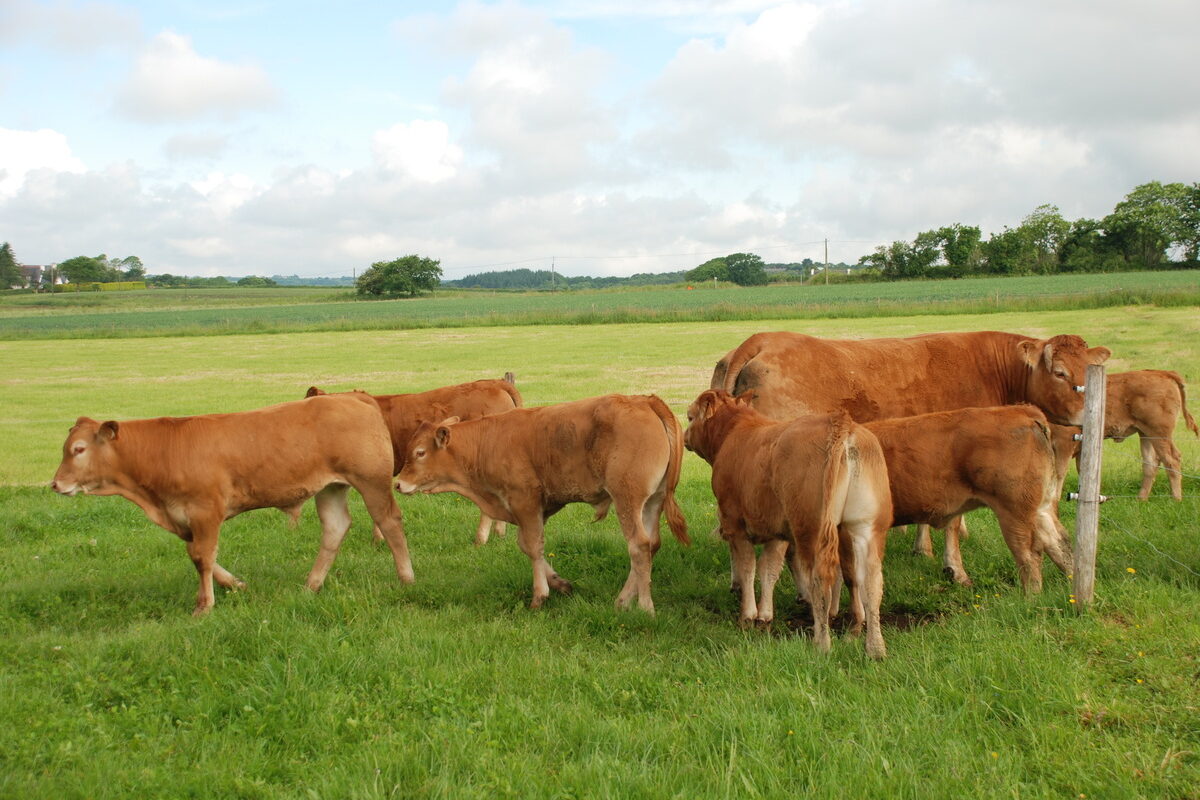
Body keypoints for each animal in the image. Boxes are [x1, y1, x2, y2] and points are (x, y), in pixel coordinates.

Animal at [50, 393, 413, 616]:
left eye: (79, 449)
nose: (55, 484)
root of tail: (350, 396)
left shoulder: (205, 510)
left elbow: (201, 556)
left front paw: (204, 606)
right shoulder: (184, 518)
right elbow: (202, 555)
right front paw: (236, 584)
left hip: (371, 481)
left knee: (389, 522)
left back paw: (406, 578)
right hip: (331, 488)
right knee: (335, 528)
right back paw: (311, 586)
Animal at [395, 394, 689, 613]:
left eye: (419, 453)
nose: (398, 483)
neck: (487, 442)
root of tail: (644, 401)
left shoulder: (524, 501)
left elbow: (533, 547)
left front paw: (540, 595)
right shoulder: (534, 509)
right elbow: (527, 545)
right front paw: (560, 583)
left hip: (627, 499)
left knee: (638, 546)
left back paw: (645, 606)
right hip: (652, 502)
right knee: (651, 544)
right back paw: (622, 600)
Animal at [684, 390, 892, 659]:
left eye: (690, 416)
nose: (685, 437)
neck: (736, 432)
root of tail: (840, 423)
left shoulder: (736, 524)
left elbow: (748, 567)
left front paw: (748, 616)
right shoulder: (776, 533)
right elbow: (769, 569)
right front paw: (765, 616)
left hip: (811, 530)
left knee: (820, 582)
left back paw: (821, 644)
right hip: (866, 528)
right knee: (870, 582)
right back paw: (872, 646)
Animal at [863, 406, 1073, 593]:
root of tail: (1023, 411)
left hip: (1015, 511)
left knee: (1030, 555)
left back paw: (1030, 599)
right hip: (1041, 507)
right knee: (1060, 543)